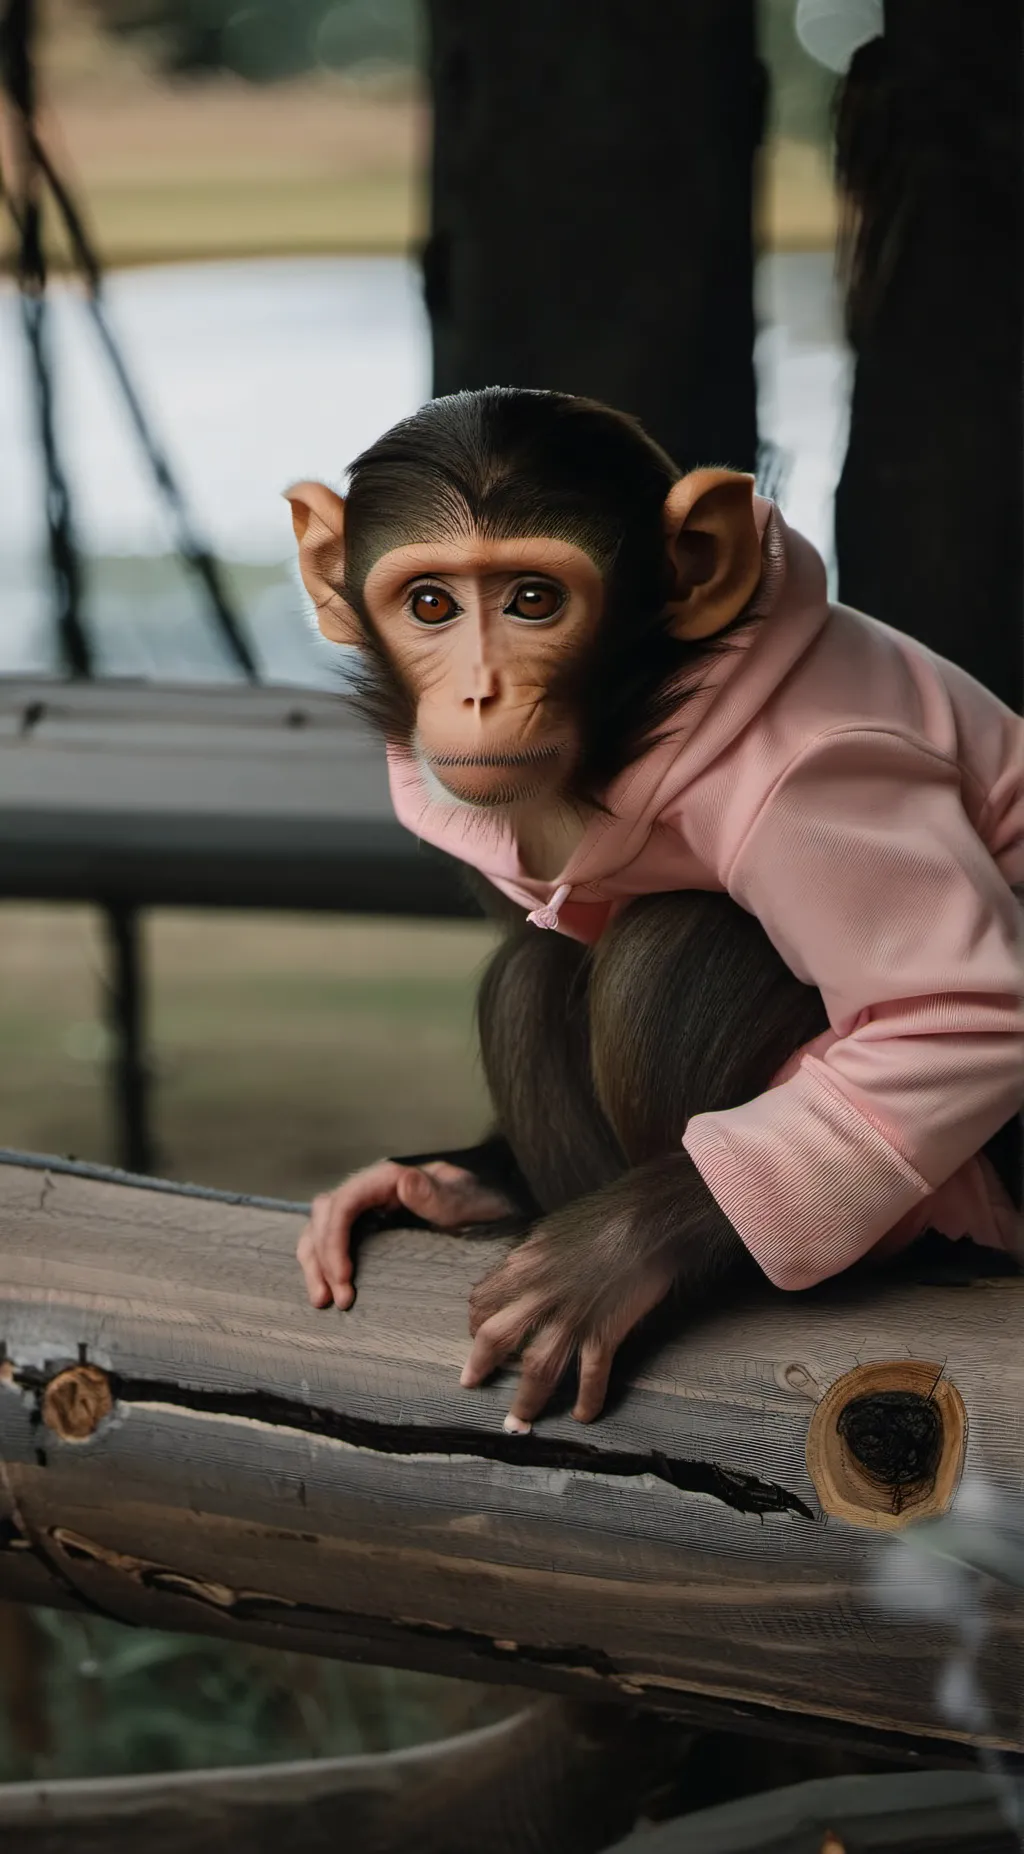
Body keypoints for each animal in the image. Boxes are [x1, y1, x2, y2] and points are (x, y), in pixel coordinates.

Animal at [286, 388, 1024, 1431]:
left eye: (534, 601)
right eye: (430, 604)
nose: (480, 693)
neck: (632, 724)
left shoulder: (828, 770)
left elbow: (960, 1015)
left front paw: (617, 1253)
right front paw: (448, 1178)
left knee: (677, 940)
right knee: (531, 972)